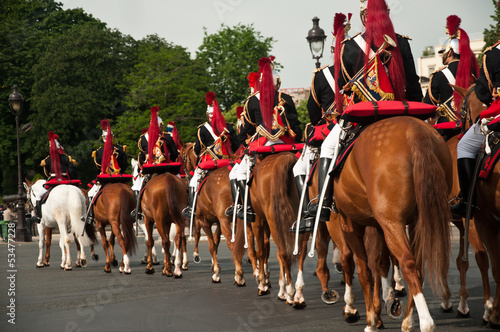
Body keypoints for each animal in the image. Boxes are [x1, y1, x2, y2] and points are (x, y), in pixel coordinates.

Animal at [332, 115, 454, 332]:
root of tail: (415, 131)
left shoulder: (350, 224)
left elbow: (364, 271)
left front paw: (371, 319)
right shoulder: (378, 225)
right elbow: (379, 263)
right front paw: (378, 312)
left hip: (393, 223)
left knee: (407, 262)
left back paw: (426, 322)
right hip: (416, 221)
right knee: (417, 265)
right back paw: (408, 320)